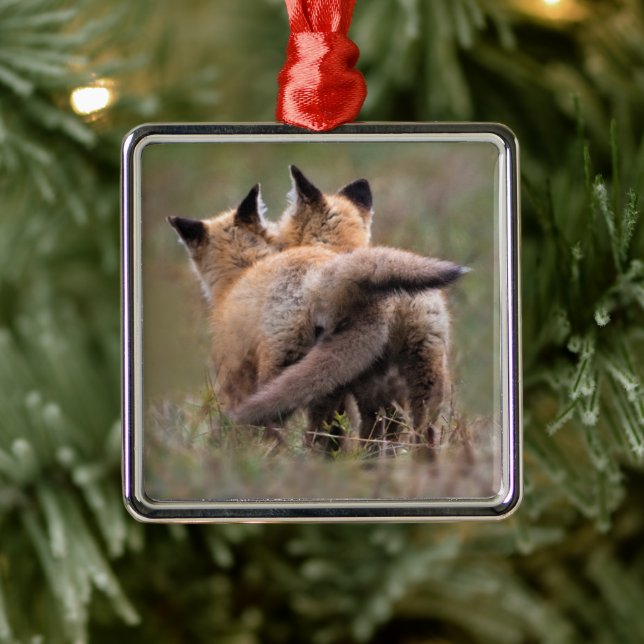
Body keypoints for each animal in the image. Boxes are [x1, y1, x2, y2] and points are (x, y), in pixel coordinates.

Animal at [168, 181, 465, 446]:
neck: (241, 272)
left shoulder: (234, 373)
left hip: (289, 375)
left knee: (280, 433)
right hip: (407, 380)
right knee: (404, 436)